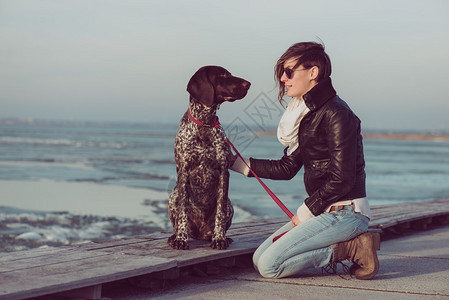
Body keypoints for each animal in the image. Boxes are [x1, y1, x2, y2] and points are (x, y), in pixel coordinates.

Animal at [168, 66, 250, 251]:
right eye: (223, 75)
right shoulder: (183, 172)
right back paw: (175, 236)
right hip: (173, 195)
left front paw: (219, 239)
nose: (248, 83)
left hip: (230, 205)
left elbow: (219, 213)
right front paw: (181, 239)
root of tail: (199, 233)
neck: (204, 123)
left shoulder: (223, 172)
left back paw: (223, 237)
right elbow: (182, 212)